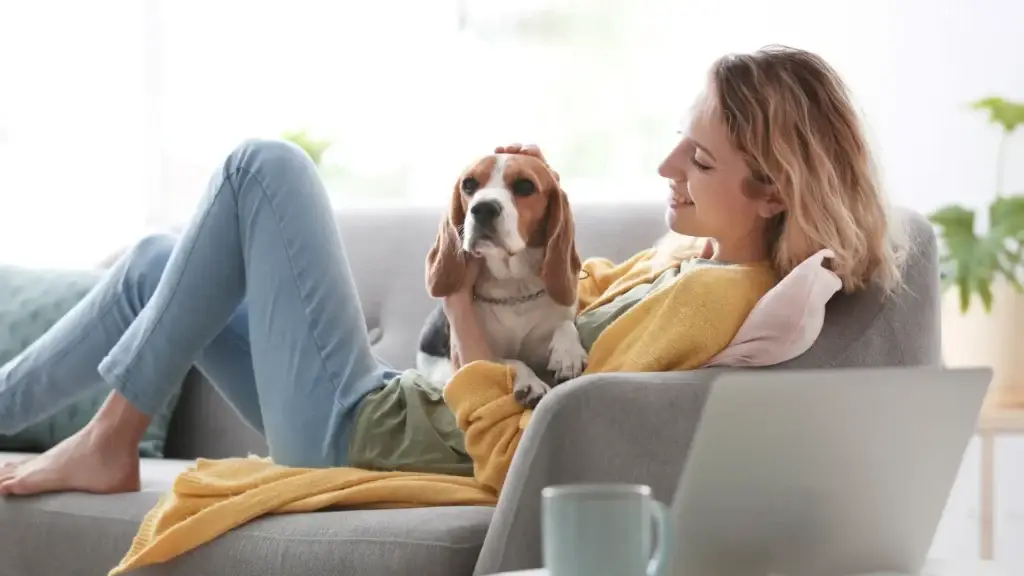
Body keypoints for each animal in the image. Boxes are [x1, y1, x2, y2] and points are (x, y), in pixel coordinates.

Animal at [415, 150, 589, 405]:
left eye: (525, 186)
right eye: (469, 184)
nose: (483, 208)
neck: (514, 287)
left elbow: (566, 325)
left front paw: (568, 353)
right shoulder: (471, 360)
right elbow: (510, 360)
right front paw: (530, 382)